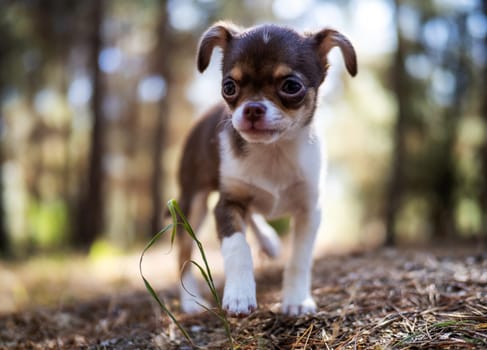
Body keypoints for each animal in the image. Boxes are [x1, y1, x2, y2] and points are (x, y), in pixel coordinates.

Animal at [177, 21, 356, 318]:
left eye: (291, 86)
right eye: (229, 86)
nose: (252, 108)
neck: (273, 152)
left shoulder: (309, 210)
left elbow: (299, 258)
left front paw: (296, 300)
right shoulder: (227, 204)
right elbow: (237, 247)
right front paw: (239, 295)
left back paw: (269, 241)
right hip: (193, 203)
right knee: (183, 252)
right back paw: (189, 301)